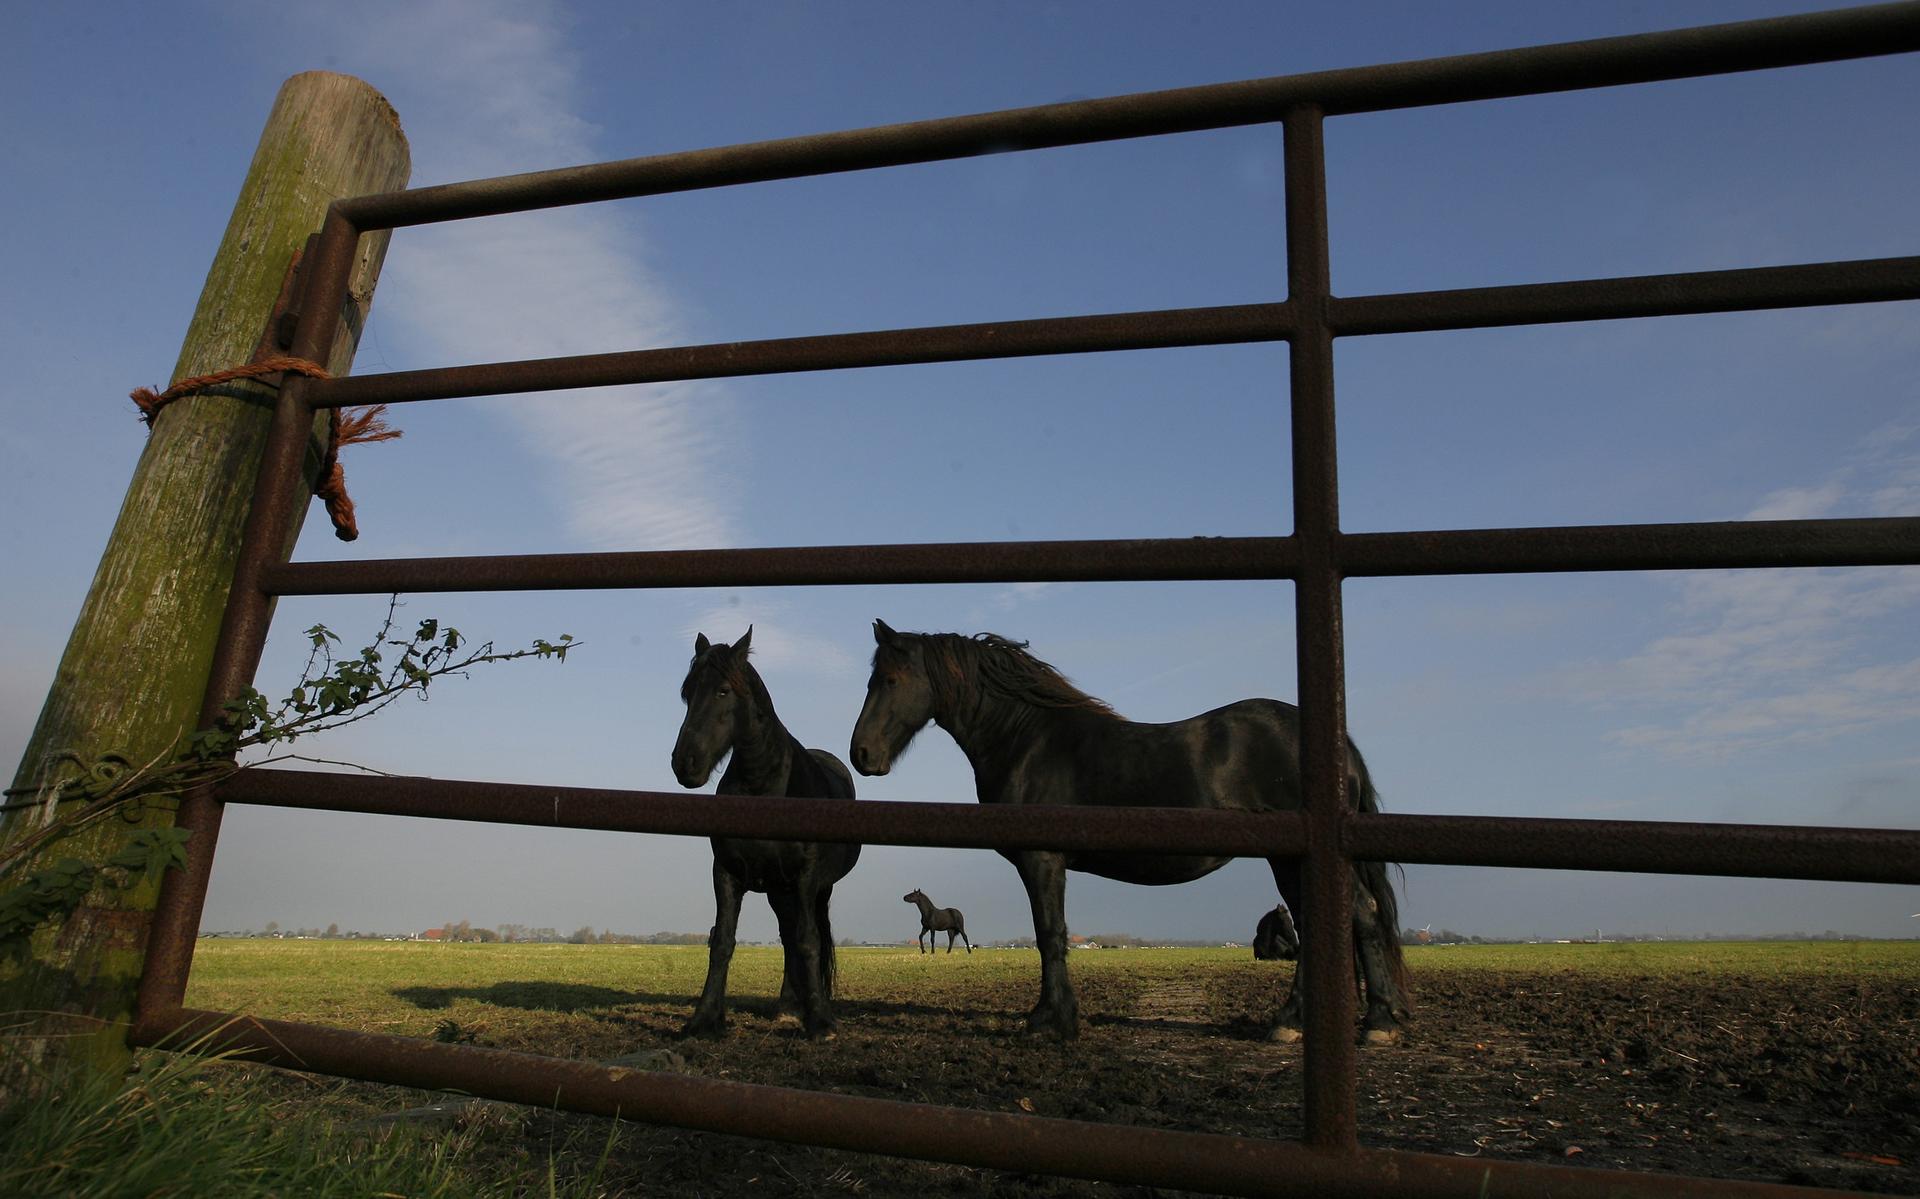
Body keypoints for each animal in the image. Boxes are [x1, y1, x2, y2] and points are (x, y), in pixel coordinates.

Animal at [671, 628, 859, 1038]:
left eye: (723, 690)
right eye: (687, 692)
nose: (685, 763)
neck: (765, 788)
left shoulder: (805, 878)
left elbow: (809, 942)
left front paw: (821, 1022)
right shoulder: (726, 873)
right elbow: (722, 942)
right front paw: (705, 1018)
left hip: (814, 889)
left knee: (803, 937)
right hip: (777, 889)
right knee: (787, 937)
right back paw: (788, 1006)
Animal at [849, 620, 1411, 1043]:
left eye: (890, 680)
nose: (861, 755)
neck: (1030, 740)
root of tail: (1337, 744)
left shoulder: (1042, 860)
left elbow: (1049, 935)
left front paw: (1050, 1022)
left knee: (1360, 915)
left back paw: (1369, 1023)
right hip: (1289, 860)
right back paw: (1316, 1021)